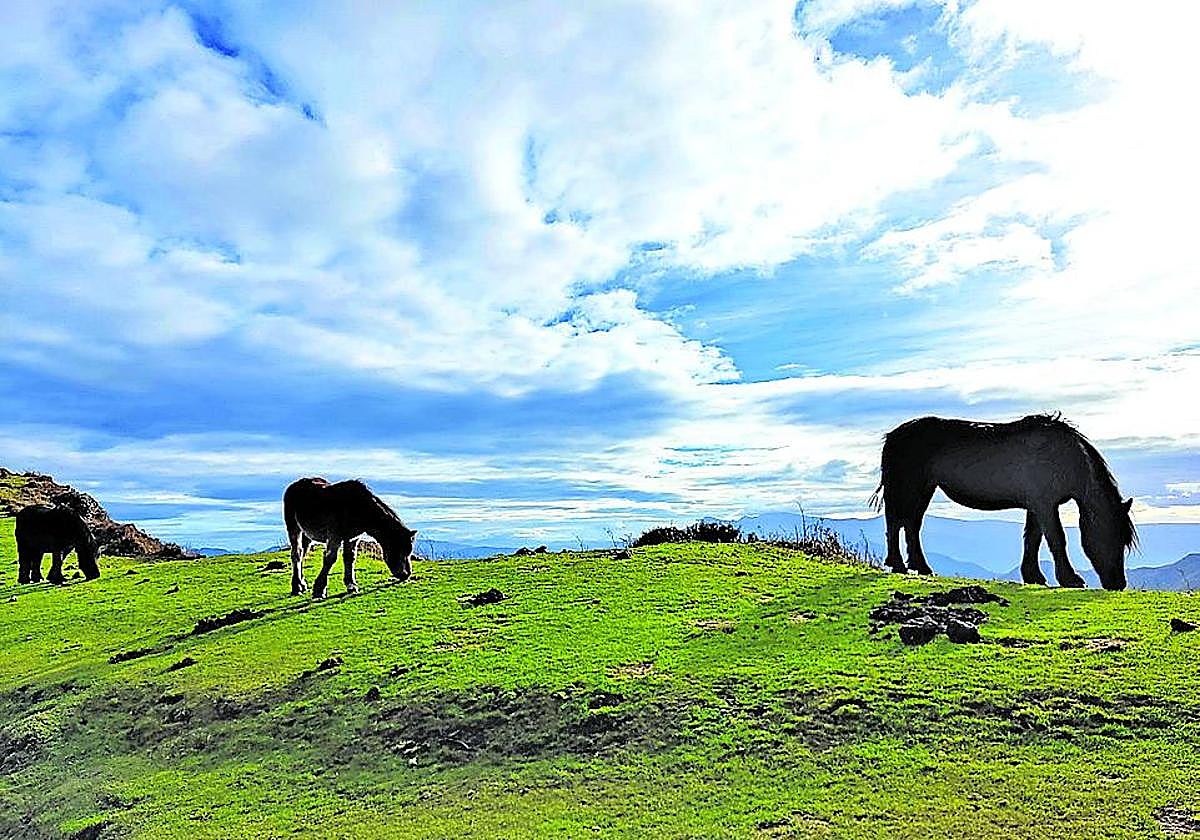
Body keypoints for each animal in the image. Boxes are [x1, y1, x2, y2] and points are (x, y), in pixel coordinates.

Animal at [282, 477, 417, 599]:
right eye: (399, 551)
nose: (406, 574)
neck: (358, 507)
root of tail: (294, 486)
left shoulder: (352, 538)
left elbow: (350, 558)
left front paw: (351, 585)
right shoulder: (334, 536)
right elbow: (330, 559)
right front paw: (319, 590)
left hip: (306, 534)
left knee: (302, 553)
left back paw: (302, 584)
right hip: (294, 527)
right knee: (296, 554)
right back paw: (296, 588)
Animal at [870, 414, 1135, 591]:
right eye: (1113, 536)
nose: (1118, 584)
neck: (1065, 457)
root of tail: (893, 436)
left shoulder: (1036, 506)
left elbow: (1032, 540)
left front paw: (1033, 576)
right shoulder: (1045, 505)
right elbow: (1056, 540)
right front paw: (1070, 579)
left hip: (924, 489)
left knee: (911, 525)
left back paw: (921, 566)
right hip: (907, 488)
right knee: (895, 522)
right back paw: (898, 564)